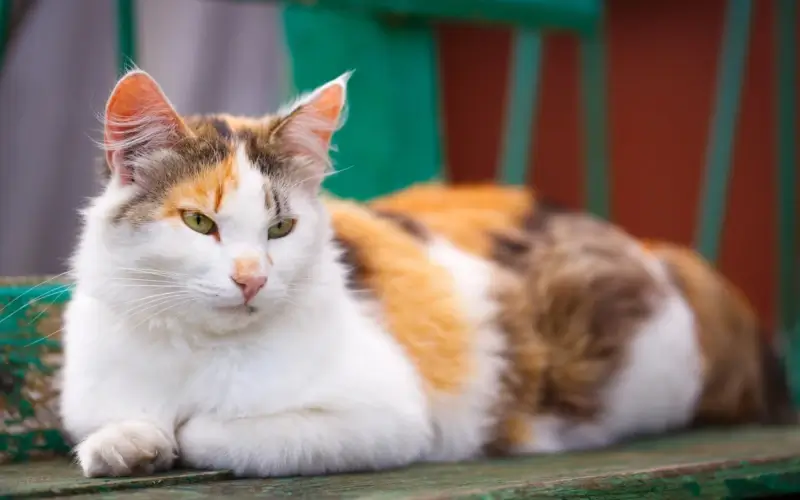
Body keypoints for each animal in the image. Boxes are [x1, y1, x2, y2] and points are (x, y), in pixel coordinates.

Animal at [61, 68, 792, 478]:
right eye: (198, 223)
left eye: (281, 229)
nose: (250, 279)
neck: (195, 350)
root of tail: (657, 252)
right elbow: (112, 431)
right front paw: (131, 445)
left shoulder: (386, 417)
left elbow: (210, 429)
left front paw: (179, 435)